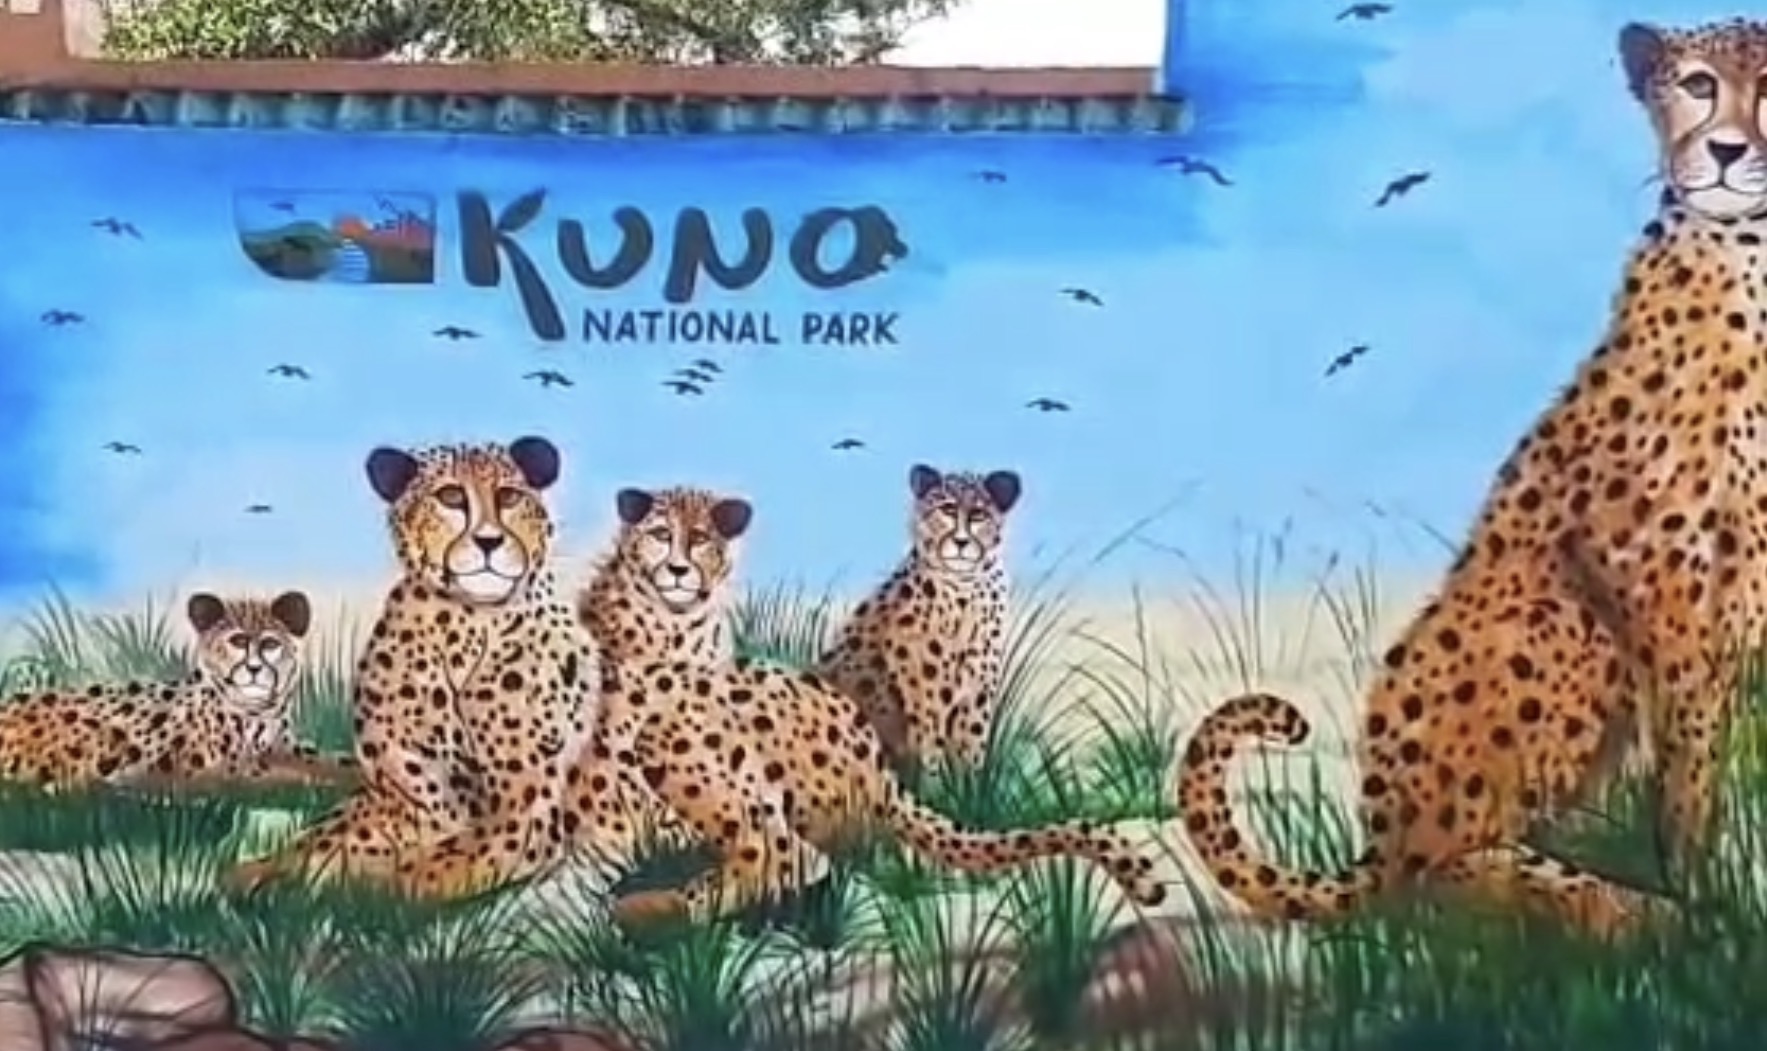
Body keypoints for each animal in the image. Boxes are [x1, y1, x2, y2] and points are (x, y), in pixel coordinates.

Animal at [0, 589, 352, 791]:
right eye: (237, 641)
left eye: (269, 644)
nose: (254, 670)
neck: (255, 712)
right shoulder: (217, 767)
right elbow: (272, 772)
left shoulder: (285, 749)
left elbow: (327, 759)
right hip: (104, 734)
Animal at [225, 435, 602, 901]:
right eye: (451, 497)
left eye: (509, 497)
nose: (489, 541)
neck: (467, 623)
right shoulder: (407, 798)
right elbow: (320, 843)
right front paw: (250, 879)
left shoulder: (521, 808)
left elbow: (428, 870)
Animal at [816, 463, 1020, 774]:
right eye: (946, 510)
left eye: (978, 515)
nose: (961, 542)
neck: (966, 588)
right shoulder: (928, 703)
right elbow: (931, 757)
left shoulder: (977, 697)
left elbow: (971, 756)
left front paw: (971, 786)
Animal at [1176, 17, 1767, 939]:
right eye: (1698, 84)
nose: (1727, 151)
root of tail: (1379, 831)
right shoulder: (1646, 552)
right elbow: (1689, 728)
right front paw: (1698, 882)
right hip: (1555, 616)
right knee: (1439, 869)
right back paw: (1614, 904)